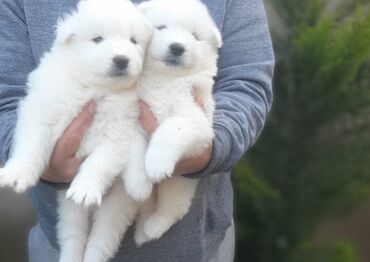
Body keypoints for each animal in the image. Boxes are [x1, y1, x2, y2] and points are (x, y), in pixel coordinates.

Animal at [131, 0, 223, 246]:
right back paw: (142, 229)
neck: (165, 80)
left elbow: (172, 129)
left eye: (194, 36)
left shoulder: (196, 119)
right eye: (161, 27)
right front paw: (139, 178)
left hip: (179, 182)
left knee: (173, 208)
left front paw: (156, 163)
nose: (177, 47)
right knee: (147, 206)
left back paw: (152, 227)